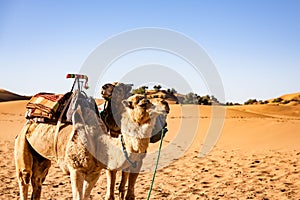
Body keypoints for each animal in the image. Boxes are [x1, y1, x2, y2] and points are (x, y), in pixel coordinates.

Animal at [14, 92, 169, 200]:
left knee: (37, 181)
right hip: (21, 143)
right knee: (25, 178)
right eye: (143, 104)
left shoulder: (94, 173)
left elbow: (86, 196)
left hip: (42, 158)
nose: (165, 103)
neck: (99, 142)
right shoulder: (76, 170)